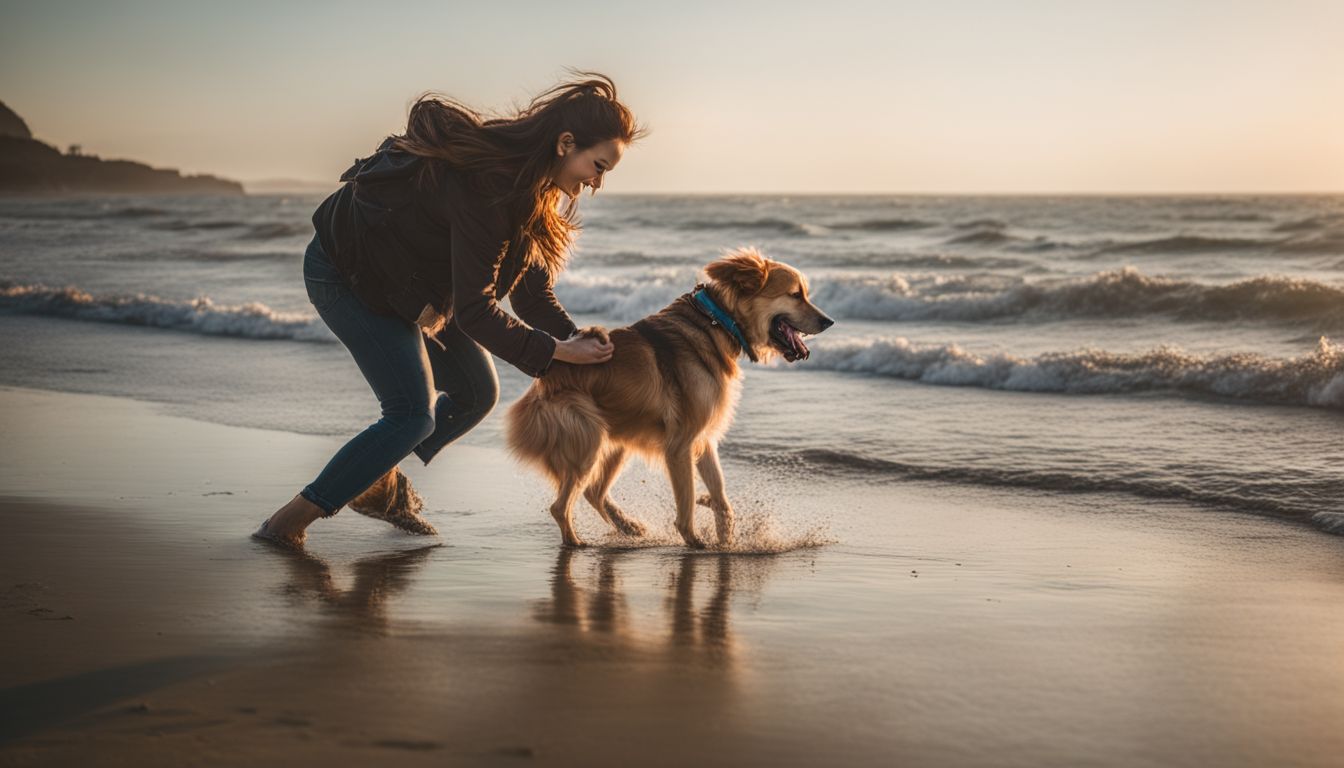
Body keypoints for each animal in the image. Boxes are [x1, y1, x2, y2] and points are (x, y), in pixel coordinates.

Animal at [505, 246, 827, 546]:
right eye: (795, 295)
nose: (829, 321)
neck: (717, 322)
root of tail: (543, 381)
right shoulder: (680, 445)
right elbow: (685, 506)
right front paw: (696, 543)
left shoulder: (703, 439)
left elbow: (721, 496)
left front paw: (725, 539)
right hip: (588, 437)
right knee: (561, 506)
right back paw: (575, 542)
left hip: (618, 436)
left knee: (593, 492)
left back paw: (627, 526)